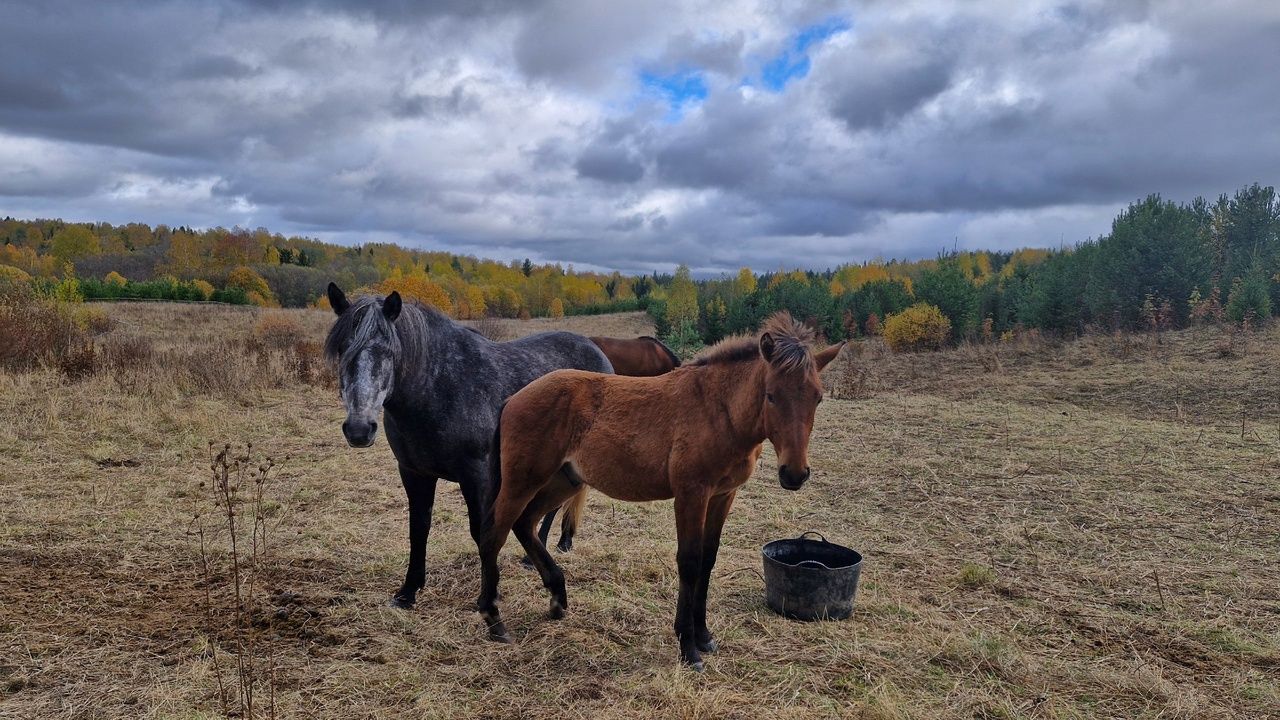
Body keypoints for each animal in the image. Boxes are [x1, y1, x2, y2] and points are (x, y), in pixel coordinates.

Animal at [325, 281, 614, 604]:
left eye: (388, 351)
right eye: (341, 349)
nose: (359, 428)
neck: (439, 387)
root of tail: (597, 352)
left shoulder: (476, 476)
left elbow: (481, 532)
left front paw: (488, 597)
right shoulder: (414, 473)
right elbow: (419, 528)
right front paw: (409, 591)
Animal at [478, 311, 839, 671]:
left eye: (818, 397)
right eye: (771, 395)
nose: (794, 473)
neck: (719, 412)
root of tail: (513, 398)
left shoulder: (722, 496)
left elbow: (708, 560)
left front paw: (704, 635)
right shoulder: (691, 494)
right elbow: (690, 562)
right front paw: (688, 647)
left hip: (562, 482)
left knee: (524, 524)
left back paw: (556, 598)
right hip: (523, 481)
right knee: (494, 535)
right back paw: (494, 620)